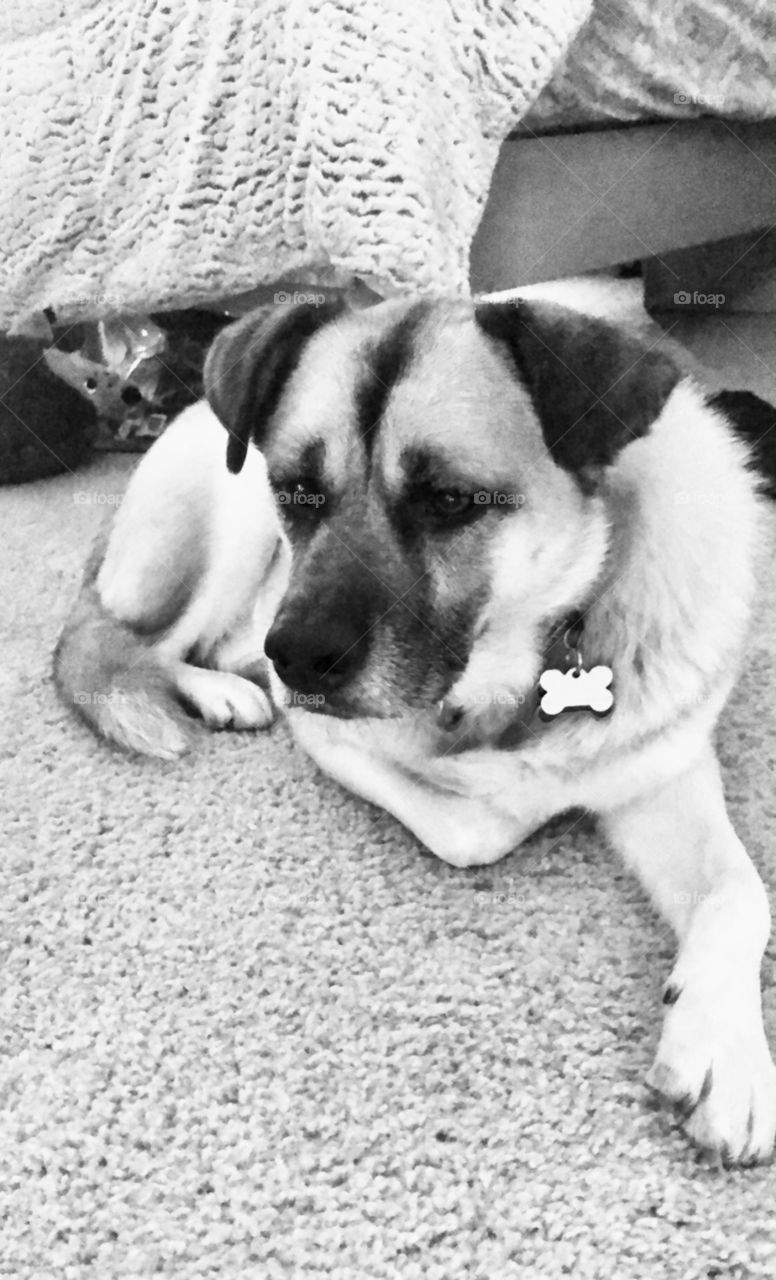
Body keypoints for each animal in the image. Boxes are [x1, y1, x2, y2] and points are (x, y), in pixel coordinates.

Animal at [56, 294, 776, 1167]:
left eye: (451, 500)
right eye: (297, 490)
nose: (295, 659)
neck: (528, 657)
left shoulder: (665, 770)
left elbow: (742, 894)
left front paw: (725, 1048)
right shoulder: (334, 739)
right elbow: (480, 826)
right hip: (228, 534)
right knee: (137, 647)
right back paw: (221, 690)